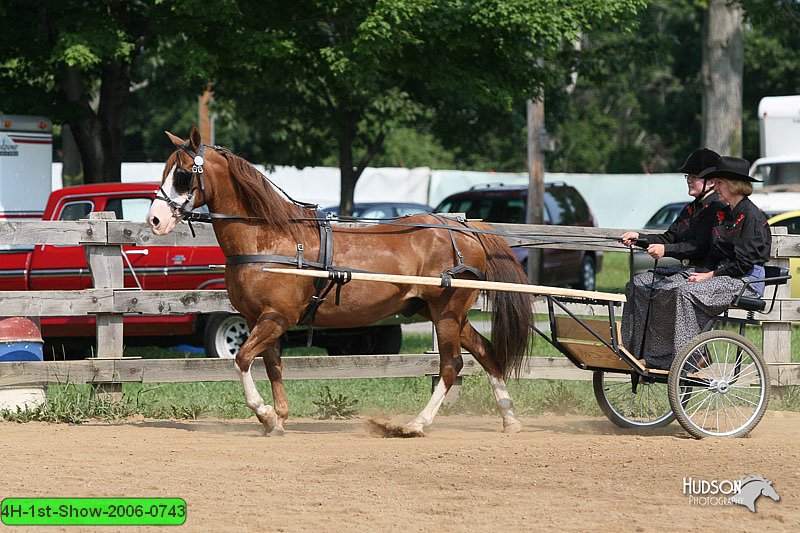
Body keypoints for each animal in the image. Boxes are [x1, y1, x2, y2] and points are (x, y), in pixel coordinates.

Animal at [148, 127, 532, 434]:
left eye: (182, 175)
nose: (154, 219)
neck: (268, 238)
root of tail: (465, 229)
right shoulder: (261, 319)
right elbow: (272, 366)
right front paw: (279, 418)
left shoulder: (276, 318)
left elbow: (242, 359)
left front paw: (265, 413)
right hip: (443, 312)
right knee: (486, 352)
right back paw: (510, 420)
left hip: (447, 314)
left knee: (451, 366)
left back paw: (416, 424)